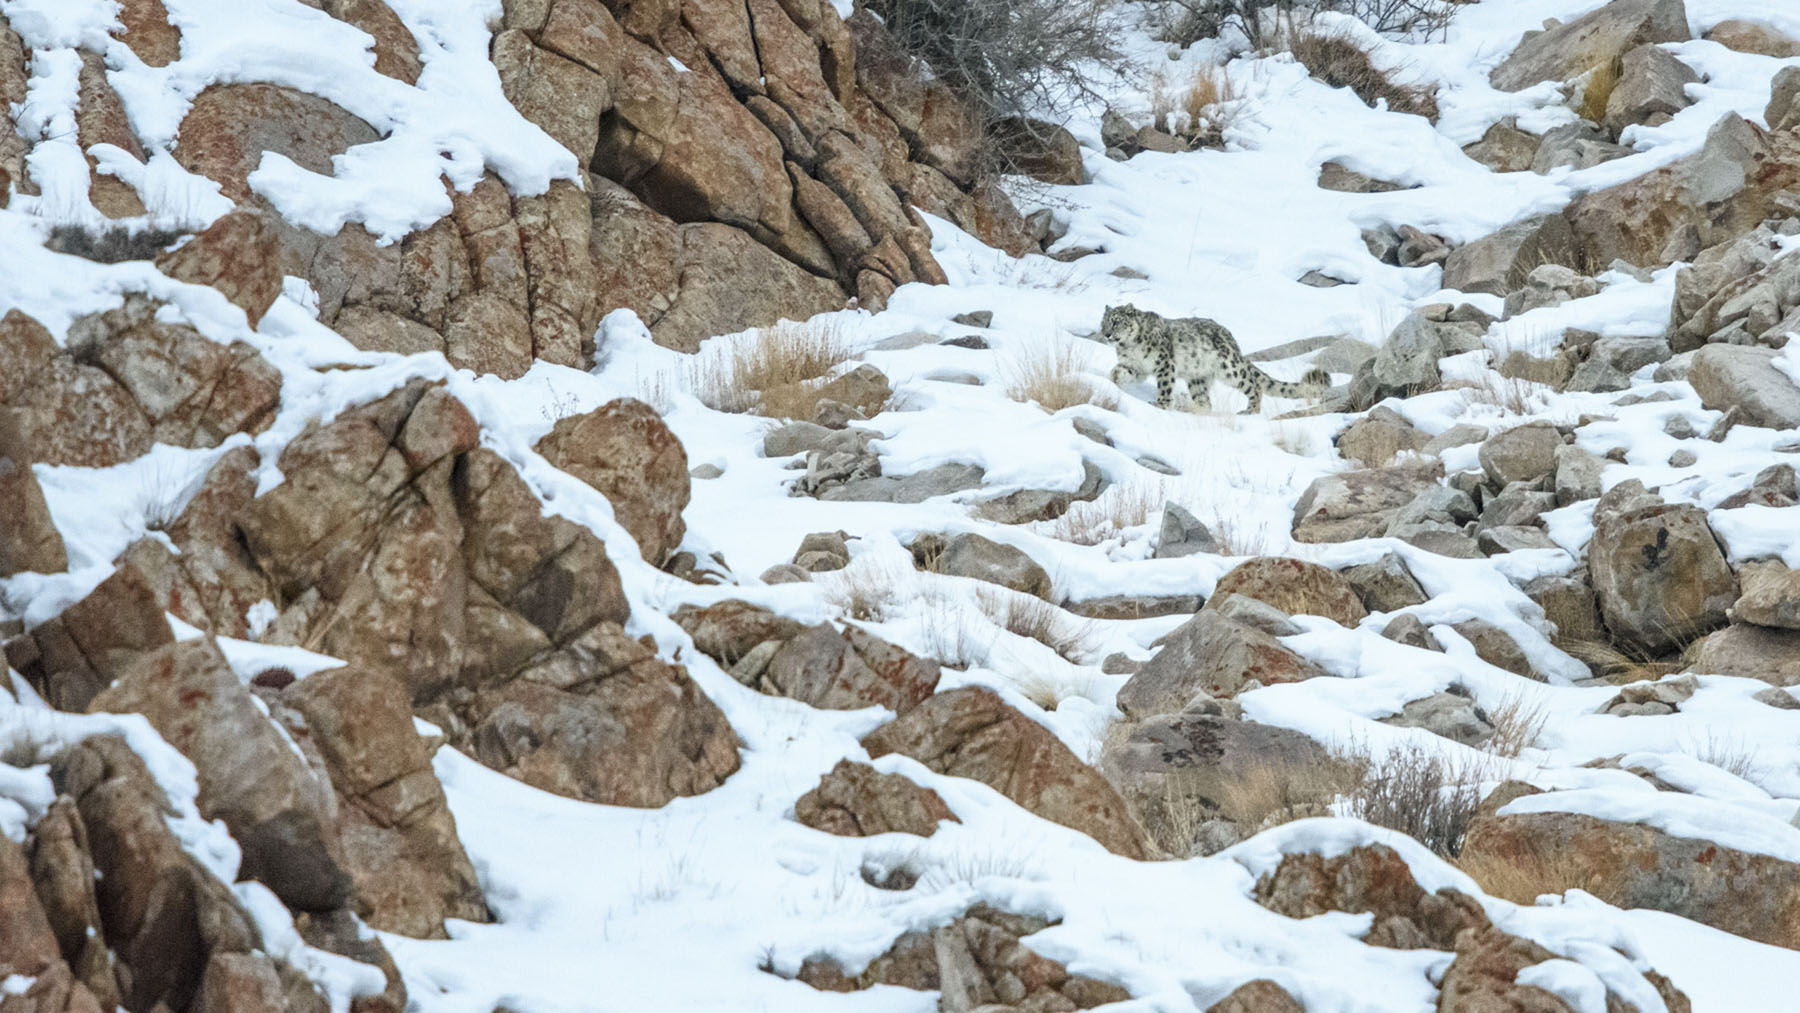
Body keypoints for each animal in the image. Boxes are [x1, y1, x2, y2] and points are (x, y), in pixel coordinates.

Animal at [1097, 304, 1332, 413]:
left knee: (1253, 384)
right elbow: (1121, 371)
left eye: (1116, 321)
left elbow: (1164, 387)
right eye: (1104, 322)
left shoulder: (1164, 364)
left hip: (1230, 368)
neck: (1129, 346)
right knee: (1205, 402)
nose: (1106, 334)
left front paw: (1161, 404)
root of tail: (1230, 337)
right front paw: (1114, 380)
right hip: (1198, 379)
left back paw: (1249, 411)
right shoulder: (1135, 366)